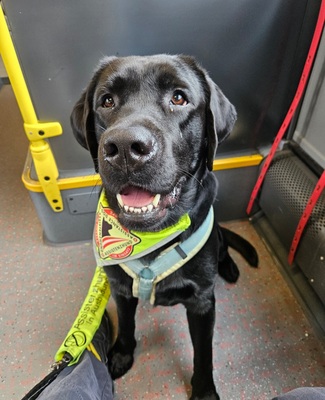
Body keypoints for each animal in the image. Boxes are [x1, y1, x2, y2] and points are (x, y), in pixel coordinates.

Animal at [70, 54, 256, 400]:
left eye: (179, 98)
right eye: (106, 101)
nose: (125, 147)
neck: (151, 238)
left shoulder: (202, 303)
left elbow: (204, 353)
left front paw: (204, 391)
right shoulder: (120, 289)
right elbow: (127, 325)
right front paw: (121, 354)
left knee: (223, 246)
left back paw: (229, 267)